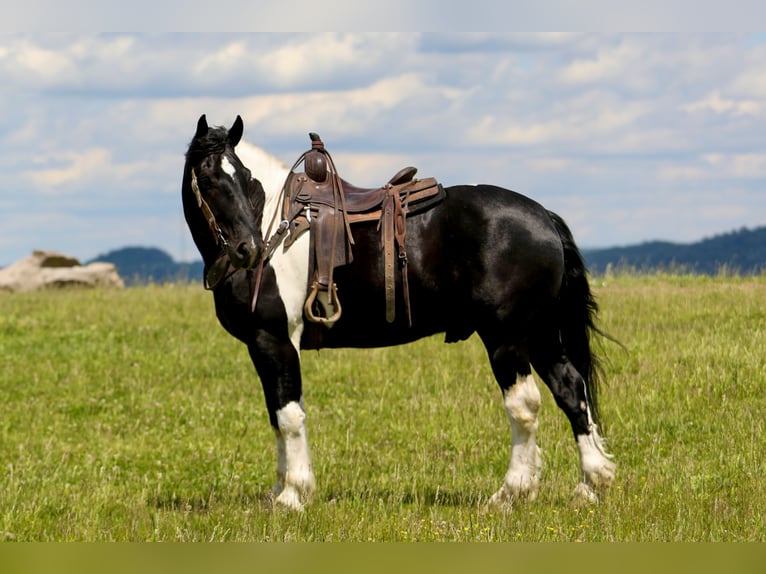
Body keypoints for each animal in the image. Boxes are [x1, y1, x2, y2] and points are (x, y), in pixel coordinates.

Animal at [182, 114, 616, 511]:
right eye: (209, 179)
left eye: (243, 177)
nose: (249, 249)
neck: (276, 223)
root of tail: (544, 217)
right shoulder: (270, 347)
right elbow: (280, 415)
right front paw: (279, 491)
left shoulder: (273, 341)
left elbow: (288, 417)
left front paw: (292, 495)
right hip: (539, 334)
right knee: (570, 390)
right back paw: (590, 484)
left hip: (507, 340)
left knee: (524, 407)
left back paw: (511, 492)